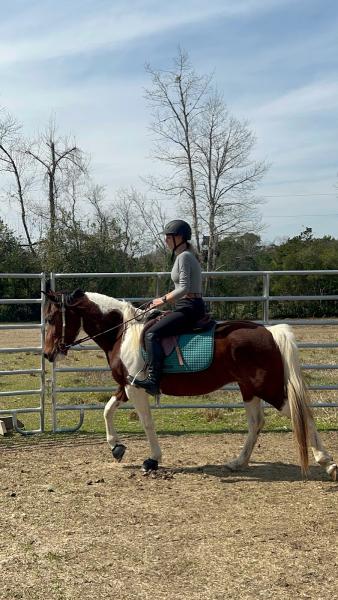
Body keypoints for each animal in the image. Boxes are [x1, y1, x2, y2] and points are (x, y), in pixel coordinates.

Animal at [43, 288, 338, 480]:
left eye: (51, 318)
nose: (47, 354)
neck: (123, 333)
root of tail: (268, 331)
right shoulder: (126, 386)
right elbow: (107, 410)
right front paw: (116, 447)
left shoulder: (136, 388)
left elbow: (146, 423)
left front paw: (152, 460)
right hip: (249, 389)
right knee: (257, 423)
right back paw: (237, 462)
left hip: (270, 389)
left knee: (302, 416)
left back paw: (327, 463)